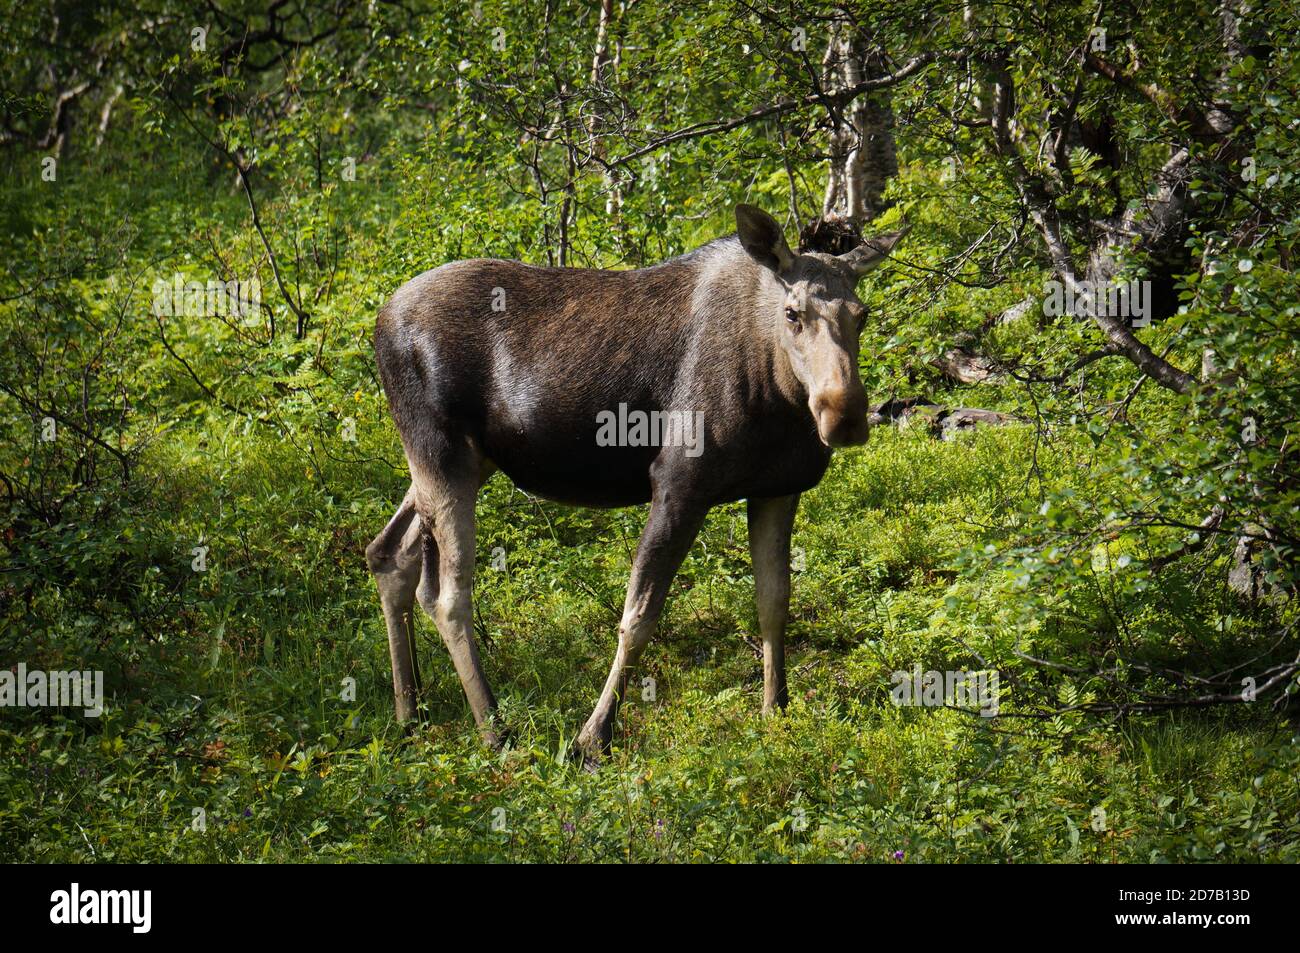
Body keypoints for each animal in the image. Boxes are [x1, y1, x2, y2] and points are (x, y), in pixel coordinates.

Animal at [366, 204, 909, 764]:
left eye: (862, 314)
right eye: (792, 313)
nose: (844, 416)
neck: (778, 393)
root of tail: (379, 322)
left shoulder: (777, 490)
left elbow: (774, 603)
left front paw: (775, 709)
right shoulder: (679, 483)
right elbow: (639, 616)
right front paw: (592, 737)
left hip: (469, 462)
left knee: (389, 552)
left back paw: (409, 711)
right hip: (441, 453)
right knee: (448, 594)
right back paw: (495, 728)